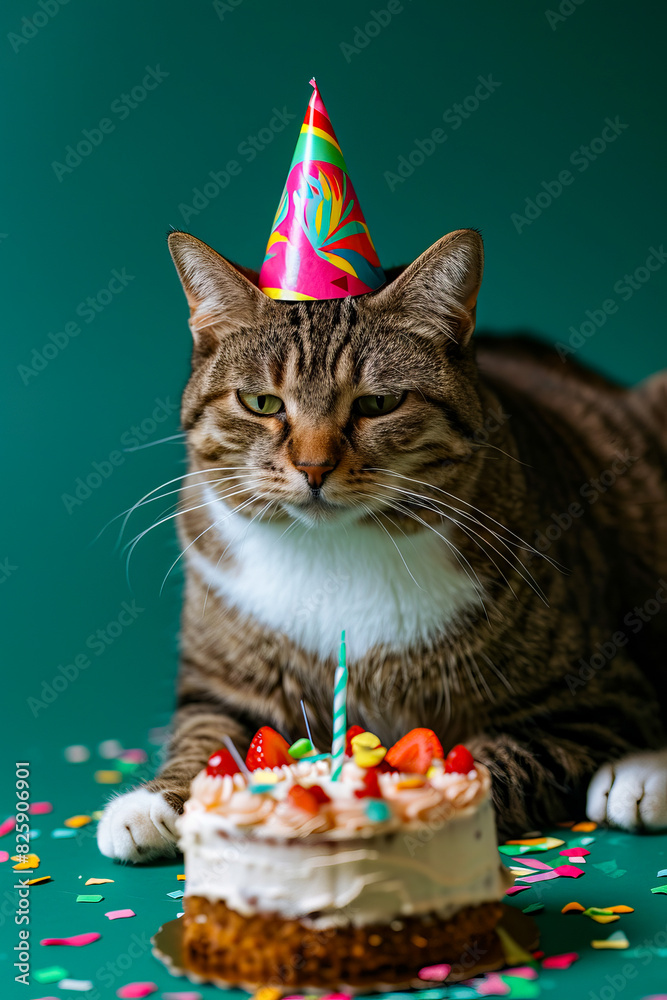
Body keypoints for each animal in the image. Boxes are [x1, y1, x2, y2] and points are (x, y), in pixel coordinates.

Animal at [95, 229, 667, 860]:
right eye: (262, 403)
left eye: (377, 404)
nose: (313, 467)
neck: (334, 553)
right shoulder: (221, 688)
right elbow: (206, 739)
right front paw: (154, 804)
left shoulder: (593, 698)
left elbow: (496, 760)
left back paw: (640, 781)